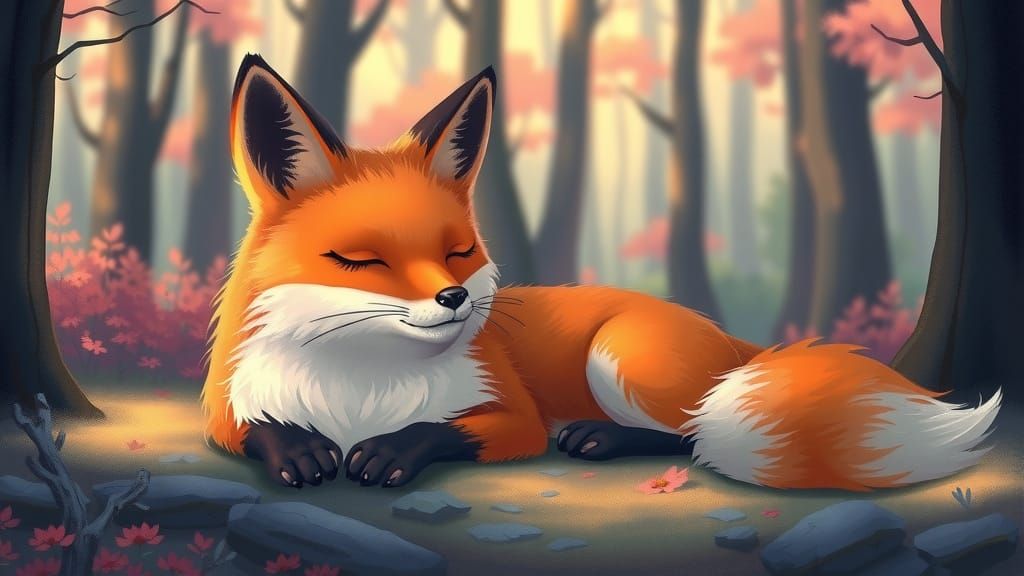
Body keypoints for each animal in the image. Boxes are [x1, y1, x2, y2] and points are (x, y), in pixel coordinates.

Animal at [202, 54, 1001, 491]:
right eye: (362, 261)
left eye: (460, 250)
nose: (454, 297)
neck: (360, 390)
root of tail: (725, 336)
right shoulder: (225, 406)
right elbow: (251, 428)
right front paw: (299, 448)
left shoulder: (513, 418)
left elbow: (445, 428)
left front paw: (392, 450)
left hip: (619, 359)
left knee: (695, 430)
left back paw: (602, 437)